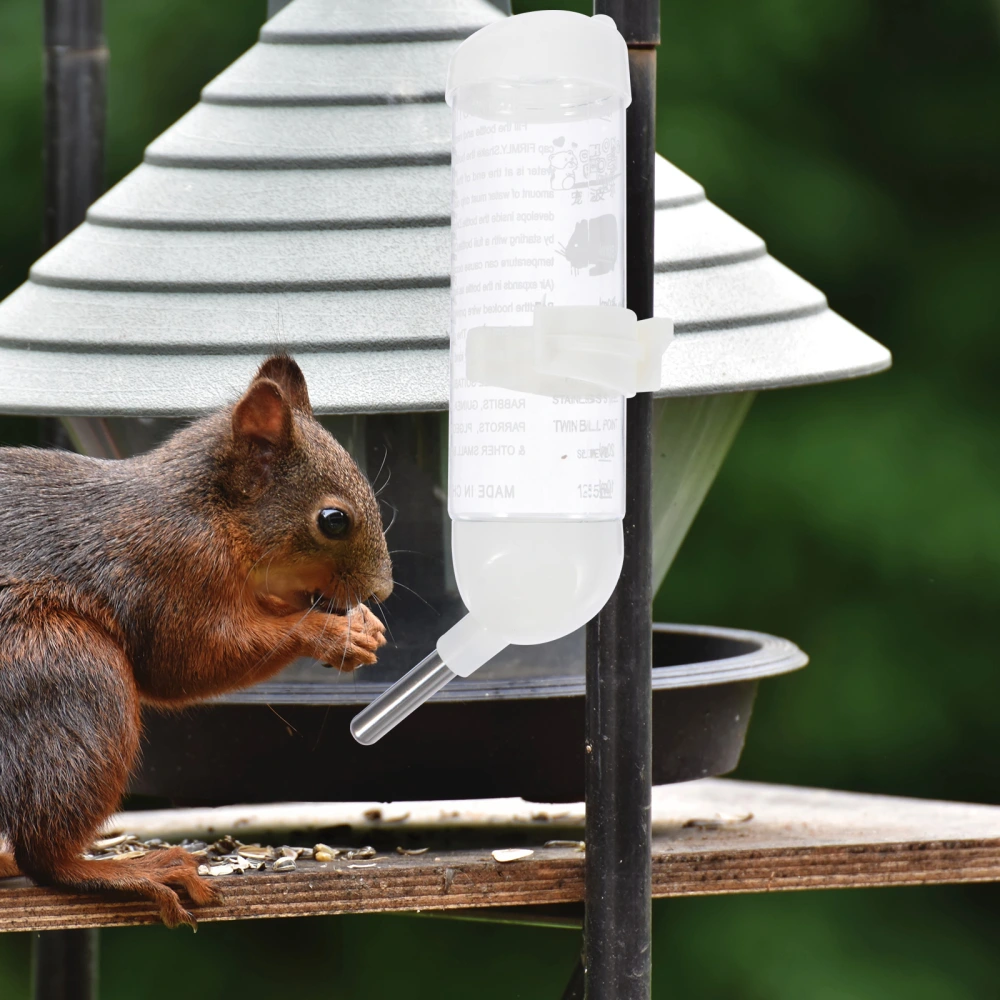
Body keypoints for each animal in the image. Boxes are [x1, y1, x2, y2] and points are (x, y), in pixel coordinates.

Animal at [0, 356, 390, 924]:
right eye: (333, 520)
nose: (382, 590)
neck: (210, 513)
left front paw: (363, 627)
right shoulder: (169, 568)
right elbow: (188, 659)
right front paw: (328, 632)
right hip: (70, 673)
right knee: (44, 858)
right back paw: (135, 871)